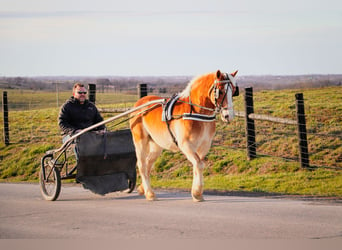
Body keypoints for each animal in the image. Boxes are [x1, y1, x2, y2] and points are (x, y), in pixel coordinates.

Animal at [128, 70, 238, 201]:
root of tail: (138, 104)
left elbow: (198, 166)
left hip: (156, 145)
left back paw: (143, 188)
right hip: (140, 141)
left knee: (148, 163)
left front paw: (197, 193)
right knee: (142, 165)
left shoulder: (204, 146)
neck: (196, 112)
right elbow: (198, 164)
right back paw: (149, 193)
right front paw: (197, 193)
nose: (228, 116)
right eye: (220, 91)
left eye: (233, 90)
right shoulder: (186, 145)